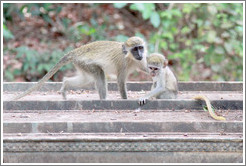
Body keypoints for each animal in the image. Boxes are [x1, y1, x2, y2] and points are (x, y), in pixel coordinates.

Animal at [14, 36, 147, 100]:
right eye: (135, 49)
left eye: (140, 48)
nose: (140, 54)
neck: (130, 58)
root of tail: (76, 51)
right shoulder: (122, 63)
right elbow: (120, 82)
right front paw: (125, 99)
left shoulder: (141, 61)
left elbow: (148, 69)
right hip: (84, 62)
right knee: (99, 73)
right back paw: (103, 100)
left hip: (80, 64)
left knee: (85, 79)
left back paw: (66, 84)